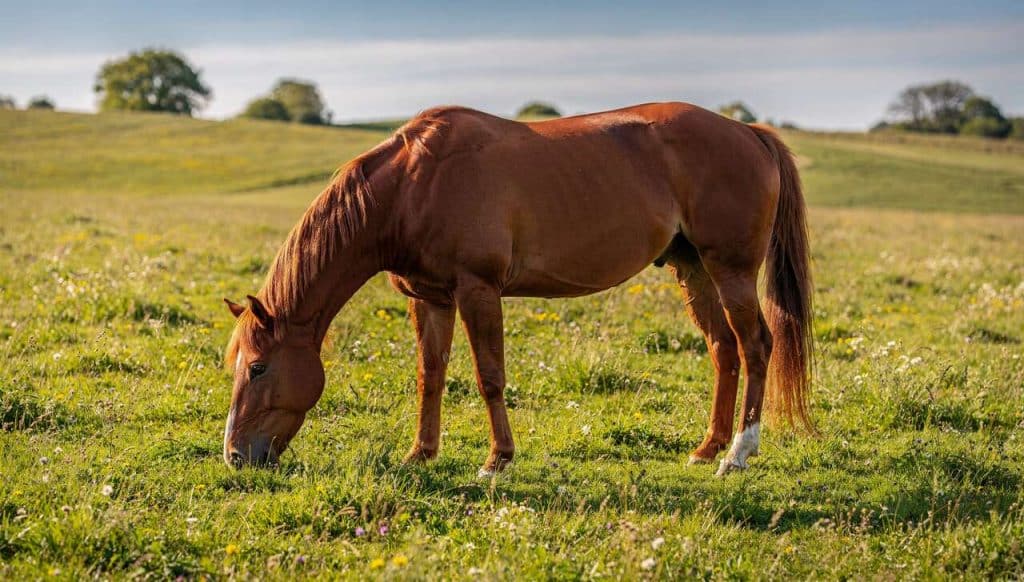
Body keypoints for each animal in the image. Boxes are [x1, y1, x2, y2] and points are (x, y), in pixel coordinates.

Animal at [223, 102, 813, 477]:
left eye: (258, 368)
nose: (234, 456)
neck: (413, 187)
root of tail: (749, 132)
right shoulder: (430, 299)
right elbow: (430, 377)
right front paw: (421, 454)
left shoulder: (477, 291)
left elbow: (489, 377)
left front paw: (497, 461)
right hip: (693, 270)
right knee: (723, 348)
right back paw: (706, 448)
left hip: (730, 270)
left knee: (756, 345)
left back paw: (737, 453)